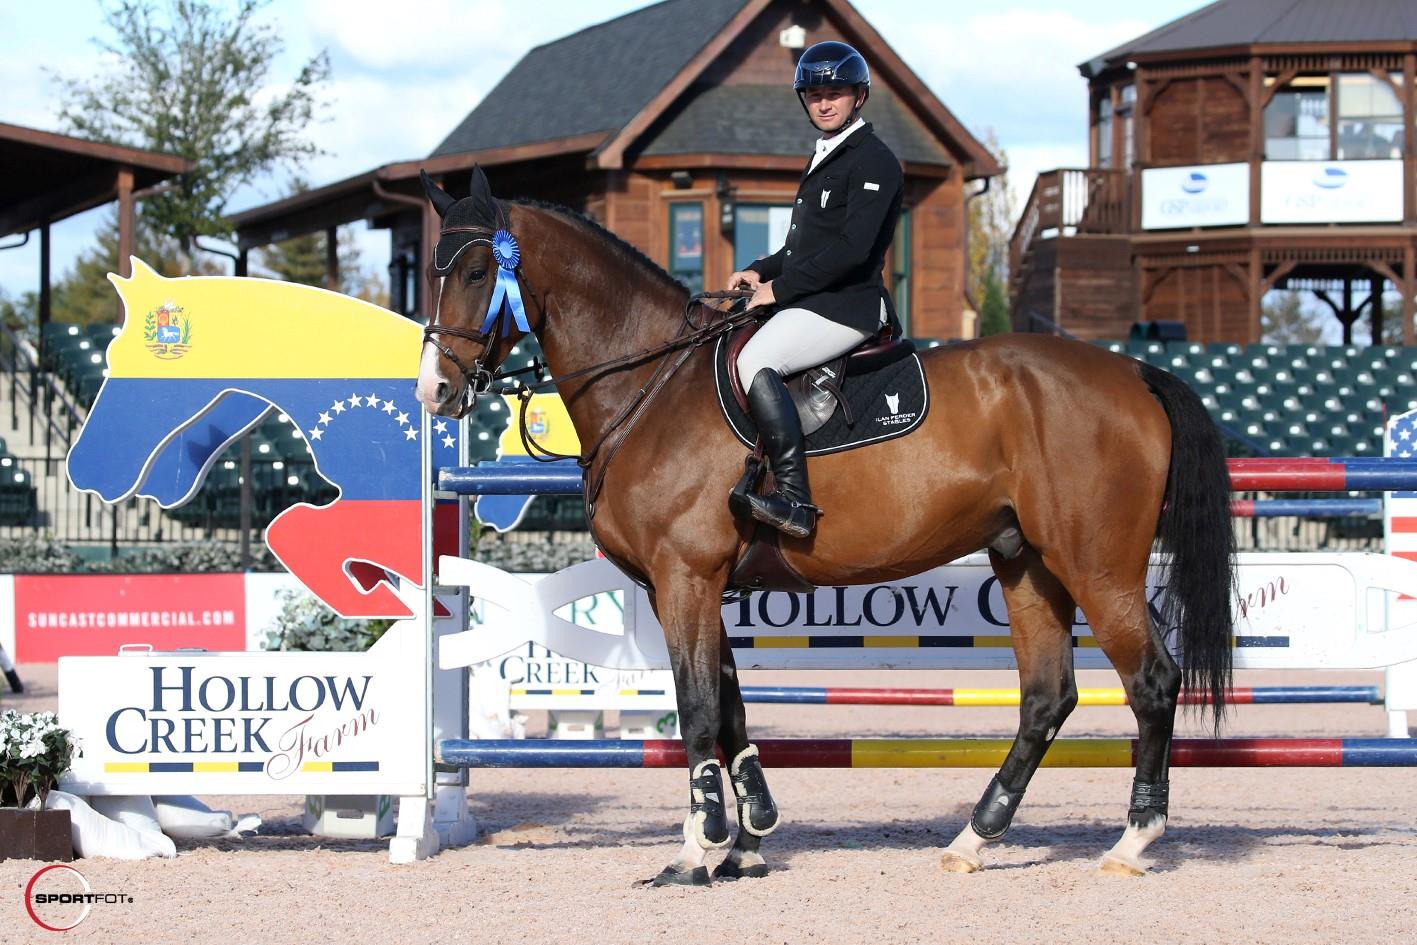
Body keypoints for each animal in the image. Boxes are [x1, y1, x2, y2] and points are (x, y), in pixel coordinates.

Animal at [413, 166, 1235, 884]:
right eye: (432, 271)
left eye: (480, 272)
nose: (435, 391)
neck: (652, 383)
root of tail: (1133, 373)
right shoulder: (700, 584)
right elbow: (731, 708)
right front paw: (745, 840)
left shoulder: (685, 577)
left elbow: (697, 708)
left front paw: (695, 851)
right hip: (1025, 562)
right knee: (1046, 697)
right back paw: (973, 839)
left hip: (1095, 565)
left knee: (1151, 682)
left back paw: (1132, 841)